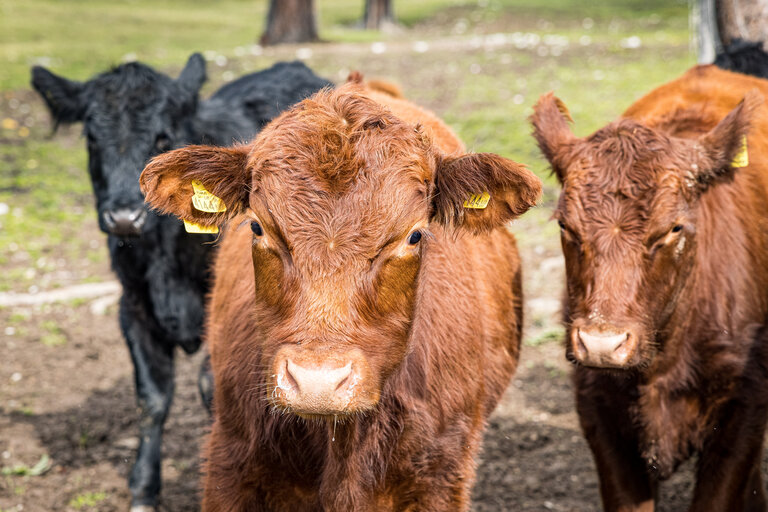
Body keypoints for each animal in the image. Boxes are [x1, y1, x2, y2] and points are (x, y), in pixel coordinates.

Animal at [30, 56, 330, 512]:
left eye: (163, 136)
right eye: (92, 137)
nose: (124, 217)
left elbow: (213, 390)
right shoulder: (133, 307)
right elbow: (152, 398)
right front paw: (143, 488)